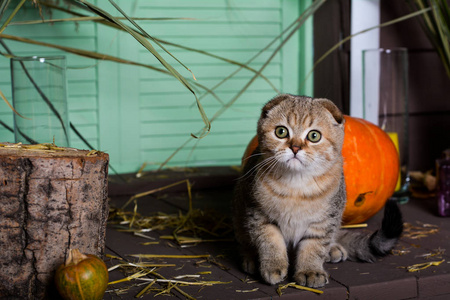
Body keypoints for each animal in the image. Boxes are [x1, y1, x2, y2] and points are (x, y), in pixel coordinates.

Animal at [234, 94, 402, 288]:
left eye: (314, 136)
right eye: (281, 132)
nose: (295, 147)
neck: (295, 185)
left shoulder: (324, 221)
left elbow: (313, 247)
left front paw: (310, 270)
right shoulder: (259, 215)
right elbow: (270, 242)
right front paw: (273, 265)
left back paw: (333, 249)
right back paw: (251, 258)